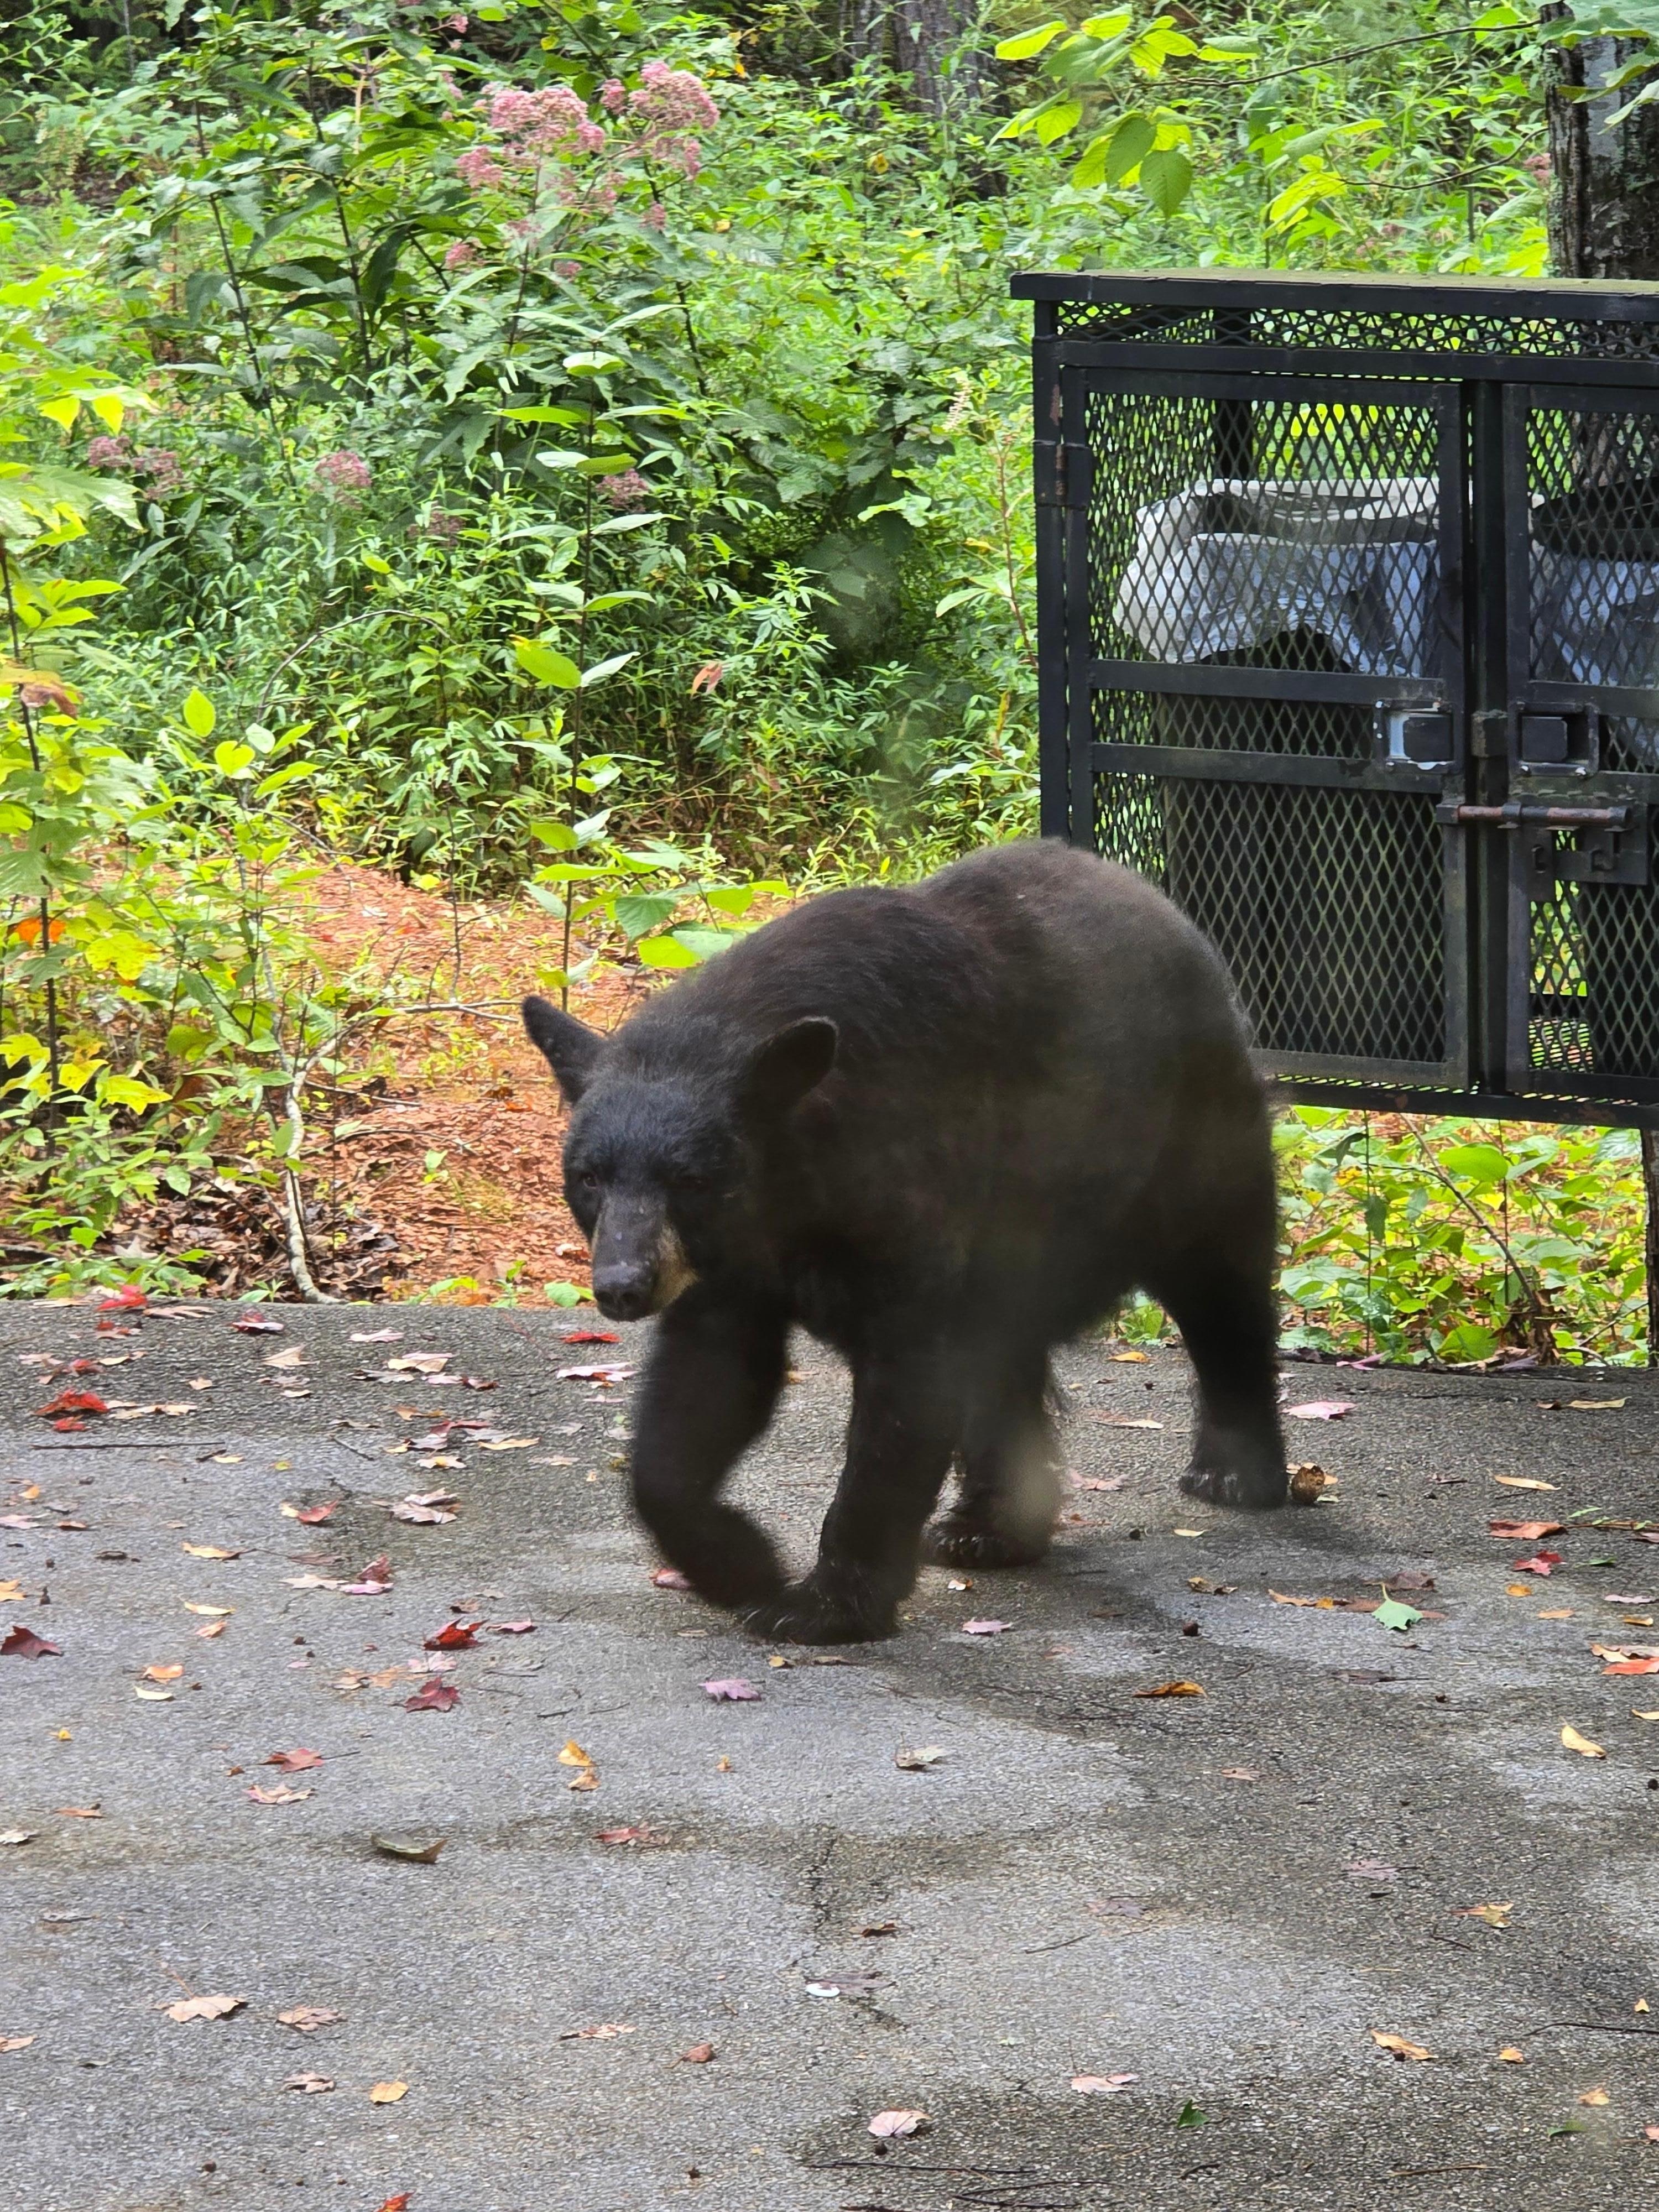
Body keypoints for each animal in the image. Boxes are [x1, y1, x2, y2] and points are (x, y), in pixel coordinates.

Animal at [523, 838, 1285, 1644]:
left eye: (691, 1179)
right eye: (589, 1176)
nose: (622, 1284)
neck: (800, 1184)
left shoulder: (906, 1189)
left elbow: (905, 1391)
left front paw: (824, 1603)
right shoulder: (729, 1262)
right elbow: (703, 1389)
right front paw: (741, 1562)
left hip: (1185, 1136)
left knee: (1221, 1285)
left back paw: (1236, 1471)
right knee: (1004, 1353)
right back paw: (991, 1526)